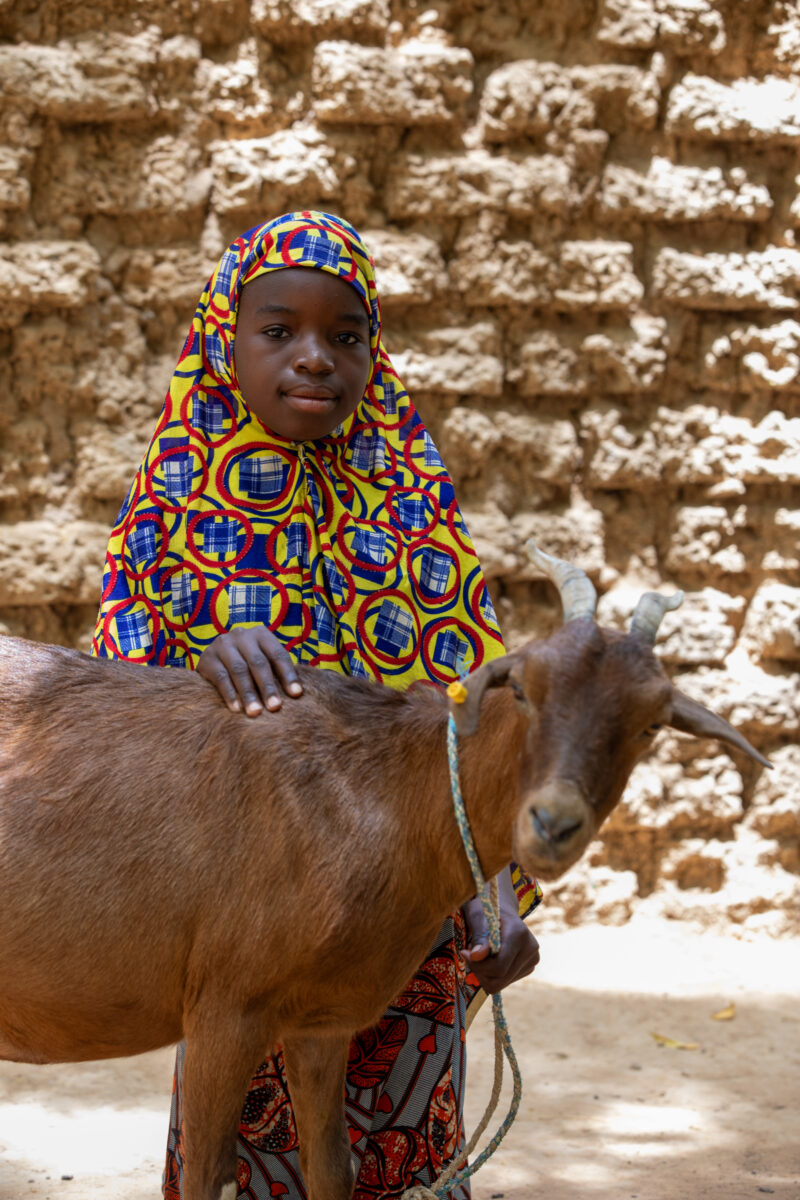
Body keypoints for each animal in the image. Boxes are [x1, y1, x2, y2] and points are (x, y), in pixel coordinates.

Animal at [0, 546, 768, 1200]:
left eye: (650, 723)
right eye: (521, 687)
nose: (552, 824)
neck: (379, 794)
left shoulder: (321, 1018)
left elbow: (332, 1172)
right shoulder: (222, 1005)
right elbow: (205, 1178)